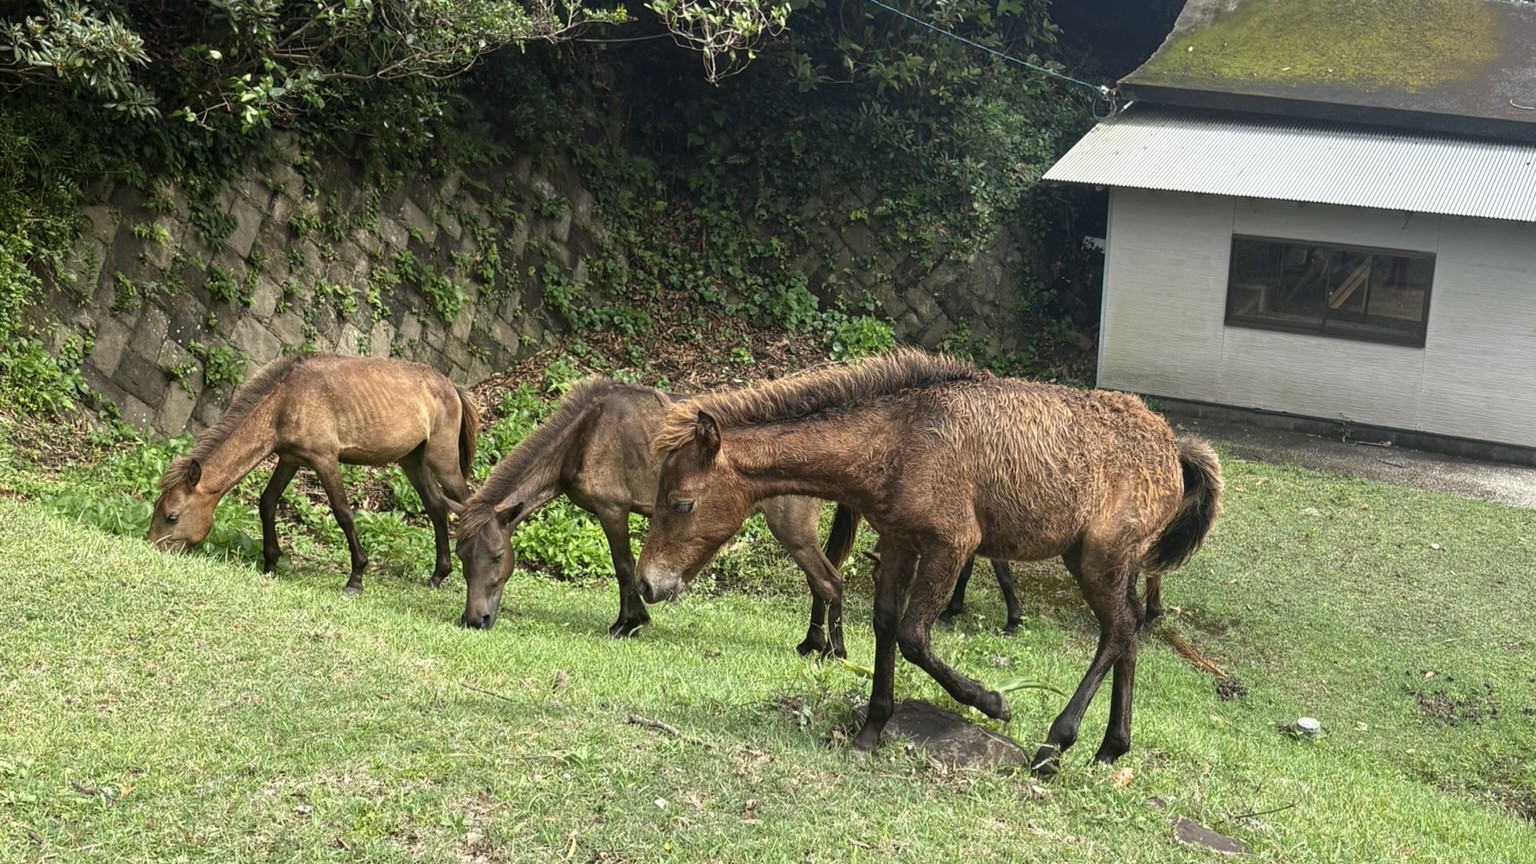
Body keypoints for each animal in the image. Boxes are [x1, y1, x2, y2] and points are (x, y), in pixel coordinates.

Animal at [148, 353, 480, 594]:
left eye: (172, 516)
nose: (151, 547)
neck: (284, 400)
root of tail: (452, 387)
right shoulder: (289, 460)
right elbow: (267, 503)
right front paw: (270, 563)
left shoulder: (325, 459)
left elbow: (343, 512)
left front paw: (356, 577)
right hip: (412, 461)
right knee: (436, 508)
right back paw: (437, 576)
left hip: (442, 462)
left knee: (467, 505)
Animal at [450, 378, 854, 656]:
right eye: (462, 558)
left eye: (497, 557)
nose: (474, 620)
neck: (585, 434)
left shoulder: (612, 510)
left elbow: (624, 567)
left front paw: (628, 622)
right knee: (820, 581)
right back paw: (811, 644)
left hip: (792, 531)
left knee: (827, 581)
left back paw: (825, 649)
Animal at [633, 348, 1221, 775]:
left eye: (681, 503)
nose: (645, 584)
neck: (899, 441)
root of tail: (1173, 446)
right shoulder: (898, 543)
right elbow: (886, 625)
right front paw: (871, 730)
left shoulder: (951, 545)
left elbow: (915, 635)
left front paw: (992, 702)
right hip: (1098, 561)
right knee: (1128, 632)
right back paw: (1110, 747)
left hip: (1101, 559)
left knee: (1118, 631)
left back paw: (1056, 745)